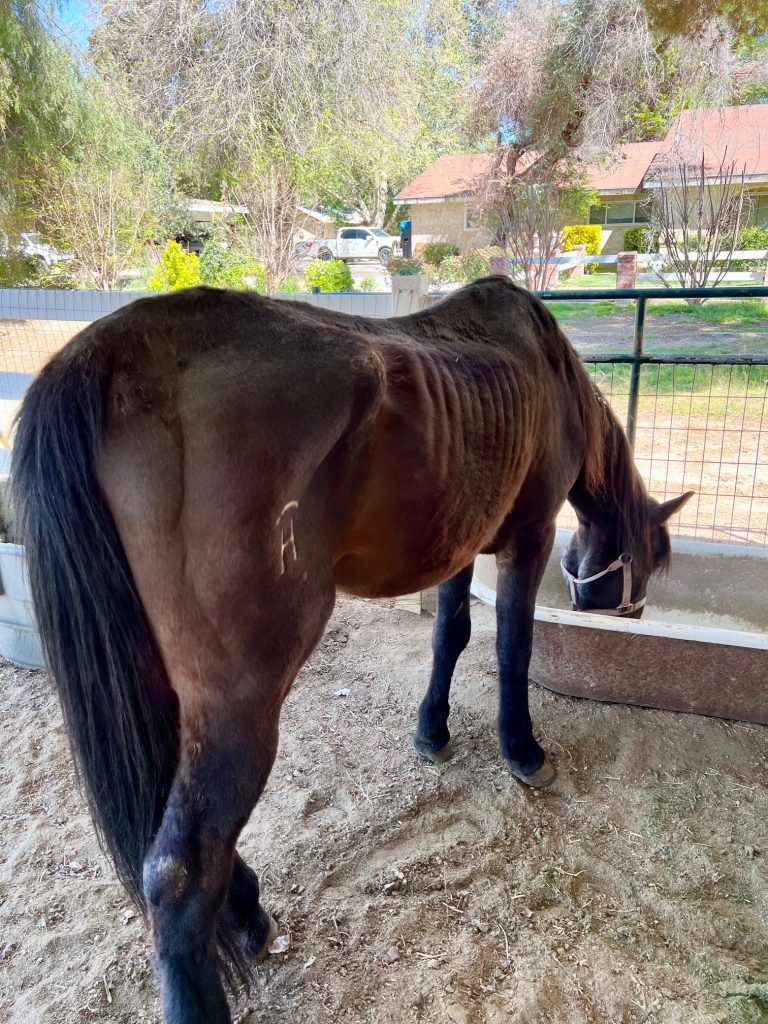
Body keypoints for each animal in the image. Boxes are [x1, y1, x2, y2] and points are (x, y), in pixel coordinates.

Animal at [12, 277, 691, 1024]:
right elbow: (513, 647)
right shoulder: (529, 534)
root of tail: (109, 353)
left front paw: (432, 731)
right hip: (239, 699)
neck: (544, 367)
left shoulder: (459, 542)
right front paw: (523, 751)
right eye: (650, 557)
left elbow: (450, 635)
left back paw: (249, 914)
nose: (631, 609)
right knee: (178, 871)